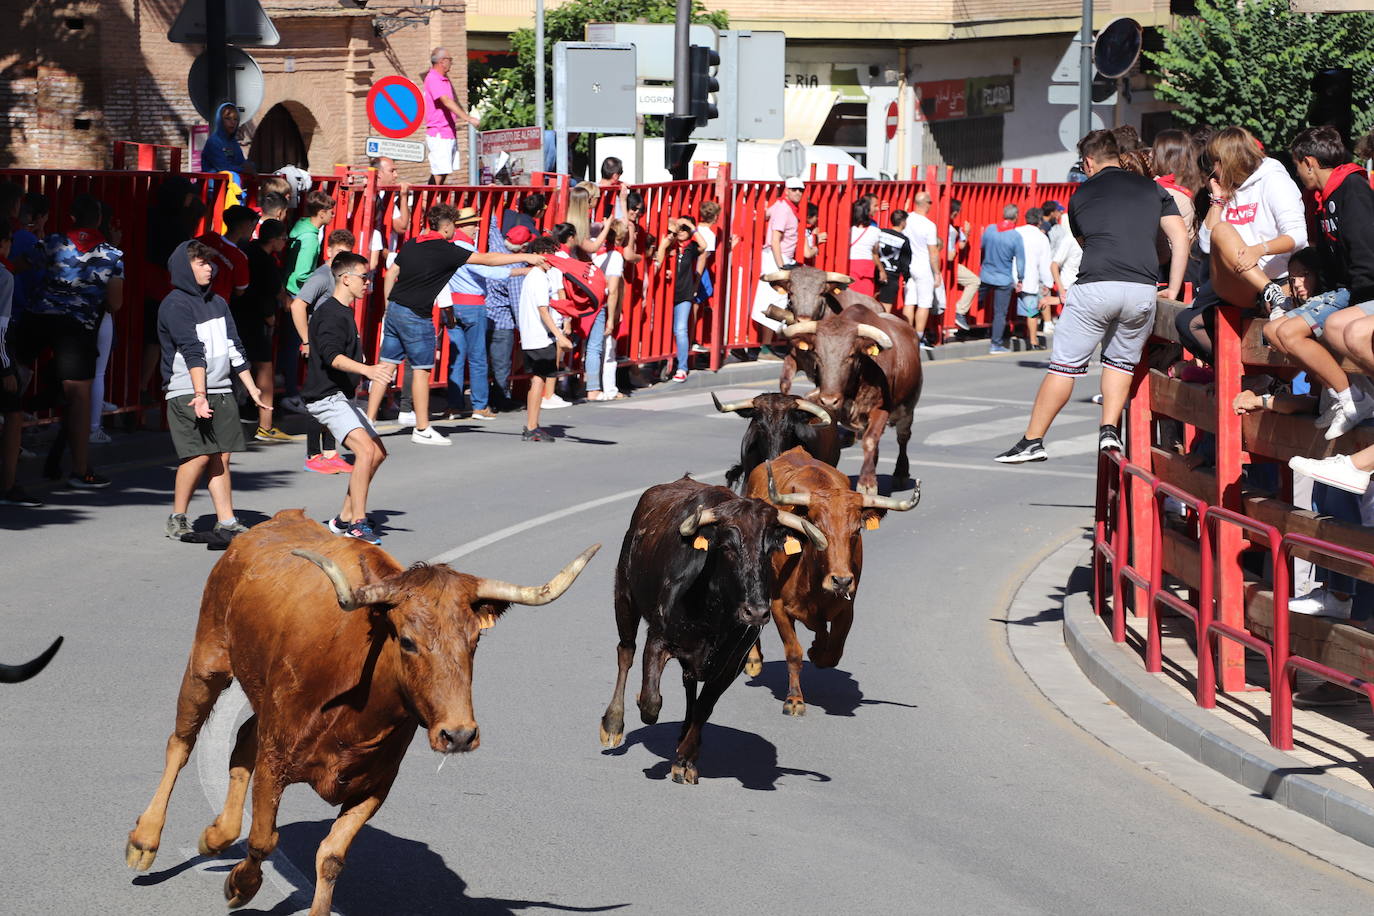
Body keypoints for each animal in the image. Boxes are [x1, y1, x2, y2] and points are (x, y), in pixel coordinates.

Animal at [126, 508, 599, 916]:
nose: (459, 735)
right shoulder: (275, 759)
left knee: (240, 741)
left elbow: (332, 856)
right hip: (207, 661)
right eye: (406, 640)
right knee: (181, 742)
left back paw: (215, 835)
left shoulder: (375, 783)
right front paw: (240, 886)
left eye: (474, 641)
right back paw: (145, 841)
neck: (356, 707)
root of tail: (273, 523)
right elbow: (262, 838)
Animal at [599, 477, 824, 785]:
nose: (756, 612)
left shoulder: (732, 662)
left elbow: (704, 707)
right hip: (624, 597)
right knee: (625, 653)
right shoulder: (657, 639)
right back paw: (612, 725)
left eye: (769, 550)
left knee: (689, 684)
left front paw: (685, 760)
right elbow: (650, 702)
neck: (712, 611)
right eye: (727, 547)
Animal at [747, 450, 917, 714]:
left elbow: (834, 650)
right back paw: (754, 660)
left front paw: (817, 651)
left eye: (855, 532)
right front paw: (794, 699)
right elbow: (793, 652)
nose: (841, 580)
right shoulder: (778, 607)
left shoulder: (847, 608)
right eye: (817, 529)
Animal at [785, 304, 923, 497]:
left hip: (907, 409)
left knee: (902, 437)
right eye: (817, 354)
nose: (829, 400)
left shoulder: (881, 409)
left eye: (850, 355)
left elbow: (870, 440)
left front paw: (867, 484)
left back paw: (900, 473)